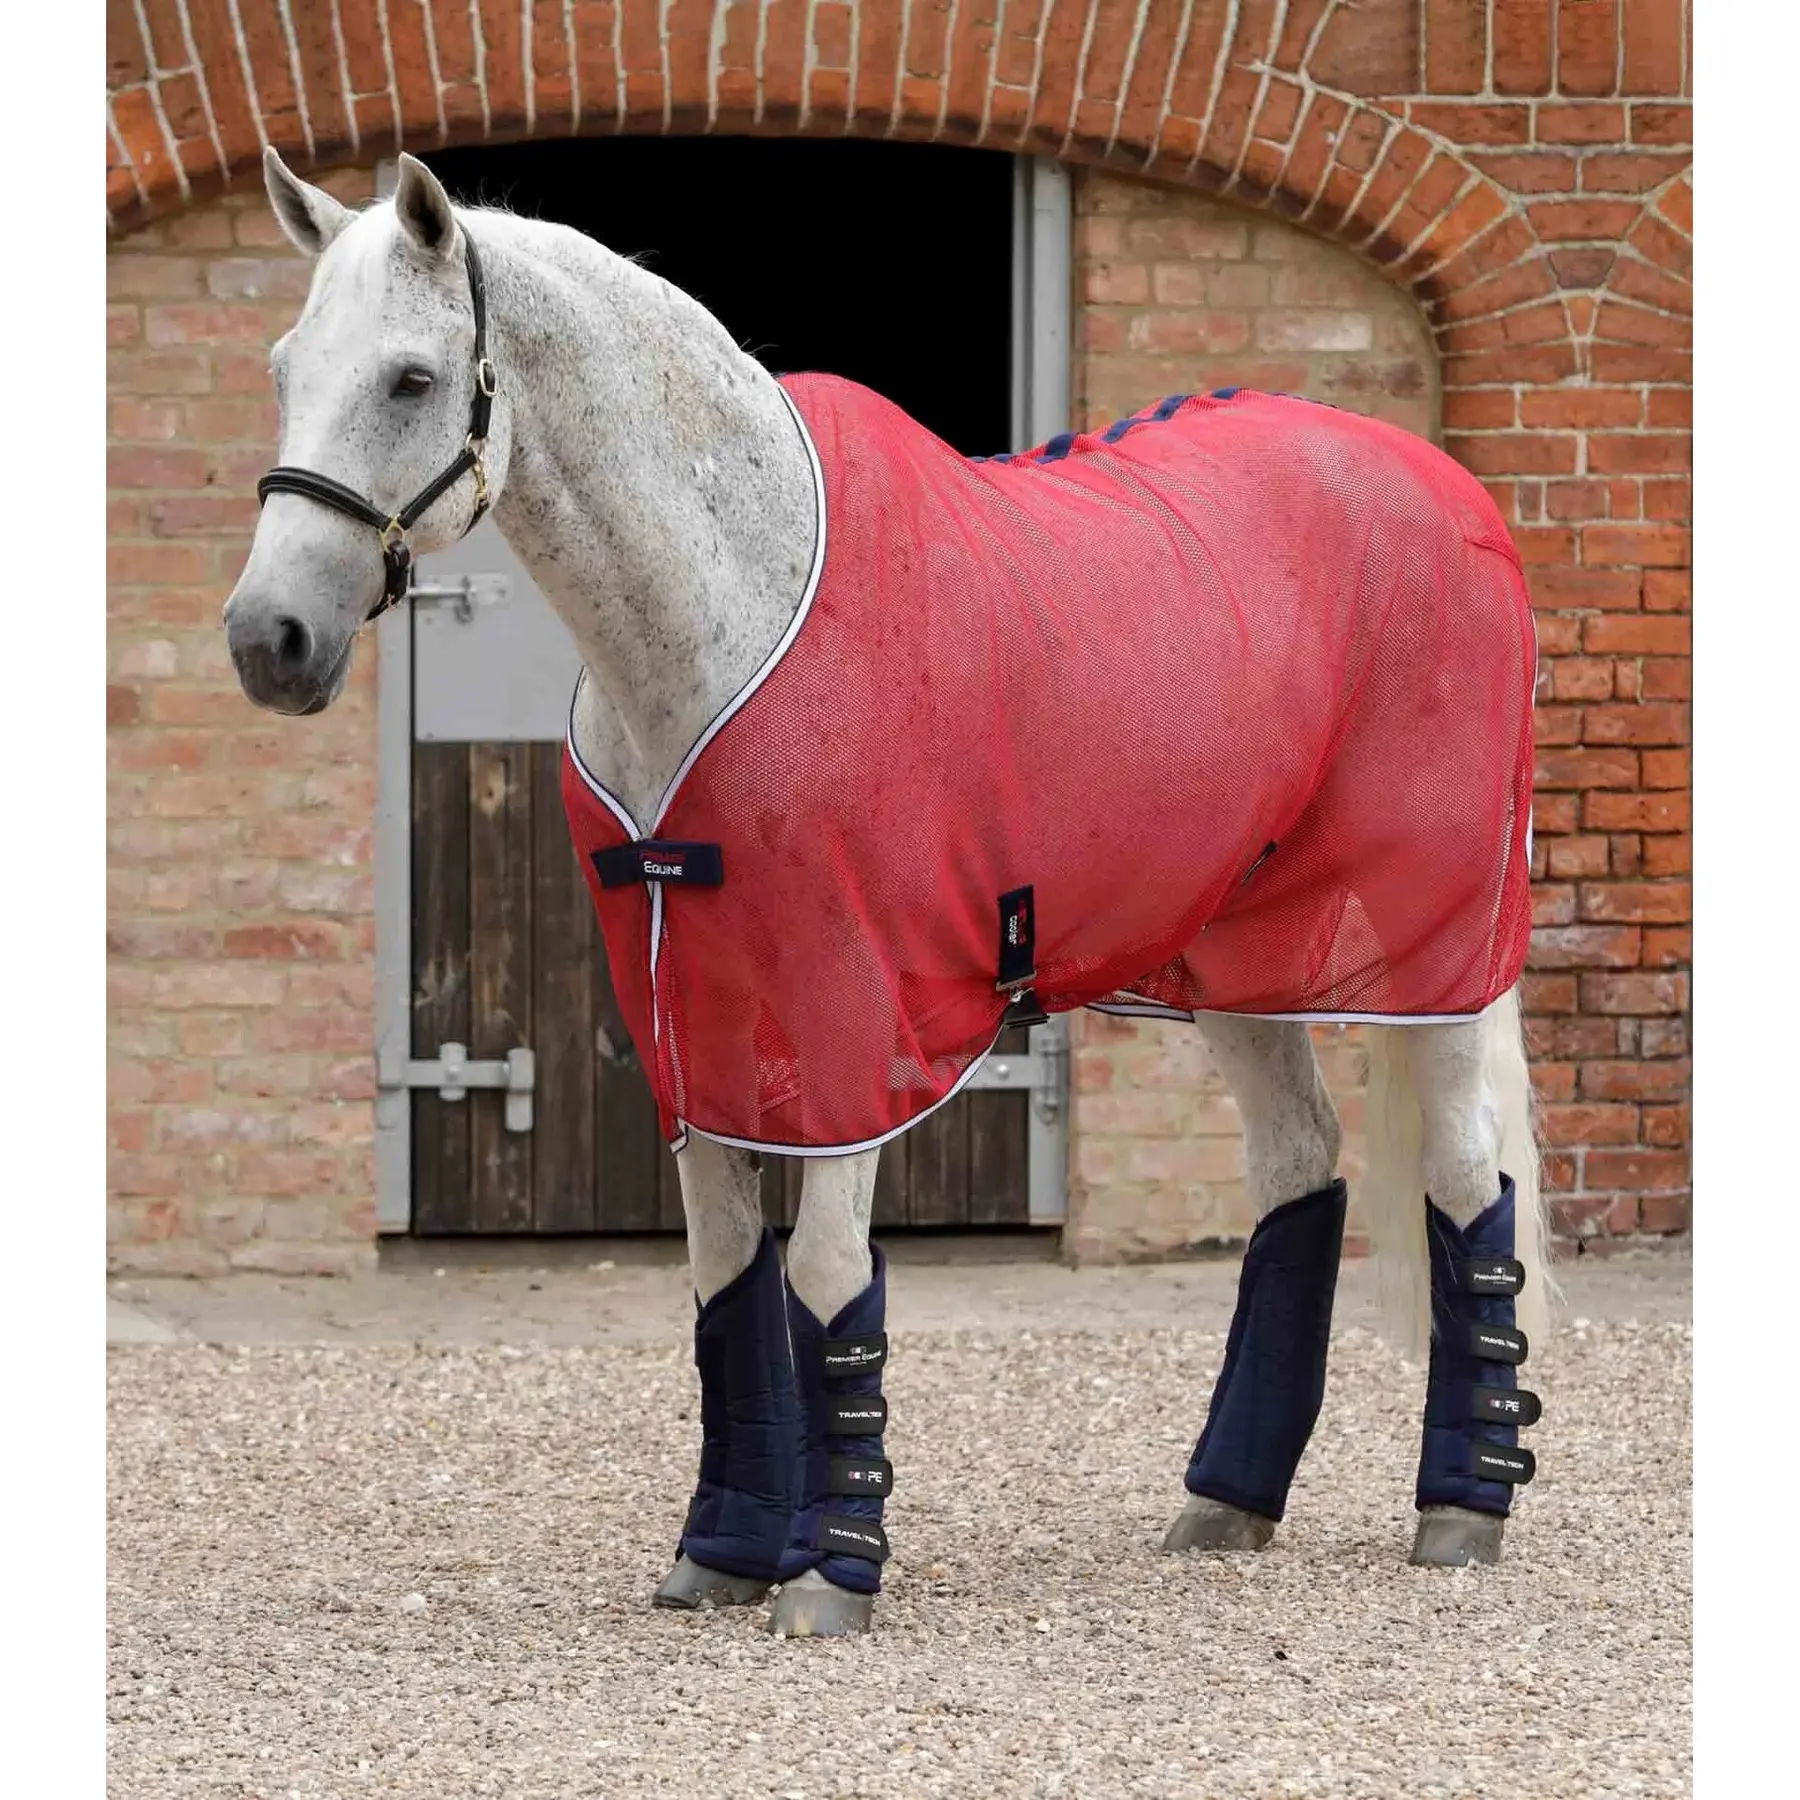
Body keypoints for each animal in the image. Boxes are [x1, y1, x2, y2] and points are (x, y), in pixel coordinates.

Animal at [226, 150, 1551, 1639]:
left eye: (408, 378)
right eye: (284, 366)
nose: (267, 640)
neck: (729, 606)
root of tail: (1446, 490)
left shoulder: (849, 1014)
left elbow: (822, 1276)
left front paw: (830, 1575)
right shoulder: (688, 1010)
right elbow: (724, 1274)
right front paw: (723, 1554)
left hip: (1437, 945)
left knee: (1465, 1175)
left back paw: (1462, 1509)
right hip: (1233, 952)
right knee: (1297, 1169)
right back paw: (1226, 1503)